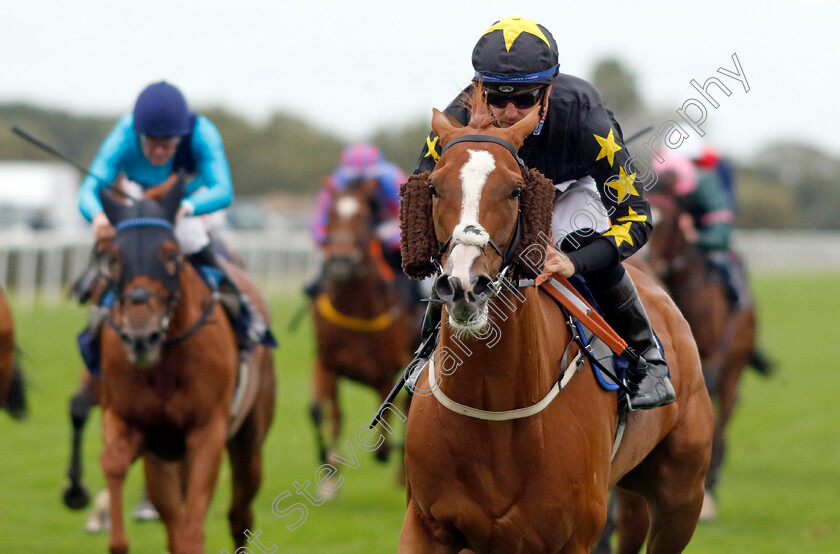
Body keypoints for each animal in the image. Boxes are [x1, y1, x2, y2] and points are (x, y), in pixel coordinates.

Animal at [84, 179, 274, 548]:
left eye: (172, 254)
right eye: (114, 256)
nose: (140, 335)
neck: (165, 360)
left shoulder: (207, 430)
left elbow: (193, 532)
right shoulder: (131, 421)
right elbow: (112, 461)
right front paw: (116, 539)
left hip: (249, 439)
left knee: (239, 514)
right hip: (164, 460)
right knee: (173, 520)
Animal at [310, 180, 418, 474]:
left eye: (363, 217)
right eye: (330, 215)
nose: (341, 260)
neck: (356, 309)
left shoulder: (386, 370)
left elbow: (389, 415)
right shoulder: (326, 362)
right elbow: (323, 411)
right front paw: (330, 464)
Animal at [636, 192, 768, 520]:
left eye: (669, 223)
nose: (646, 259)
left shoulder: (711, 359)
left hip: (735, 364)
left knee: (725, 414)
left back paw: (713, 484)